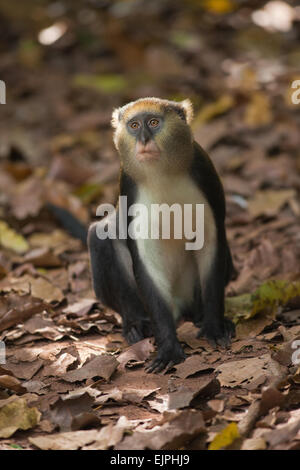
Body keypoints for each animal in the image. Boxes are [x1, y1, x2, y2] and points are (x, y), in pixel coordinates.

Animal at [85, 97, 236, 372]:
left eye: (154, 123)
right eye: (134, 125)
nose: (144, 139)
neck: (162, 173)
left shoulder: (204, 170)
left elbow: (211, 244)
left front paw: (214, 327)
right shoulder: (129, 184)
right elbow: (146, 262)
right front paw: (168, 347)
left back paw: (201, 317)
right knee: (99, 235)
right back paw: (135, 324)